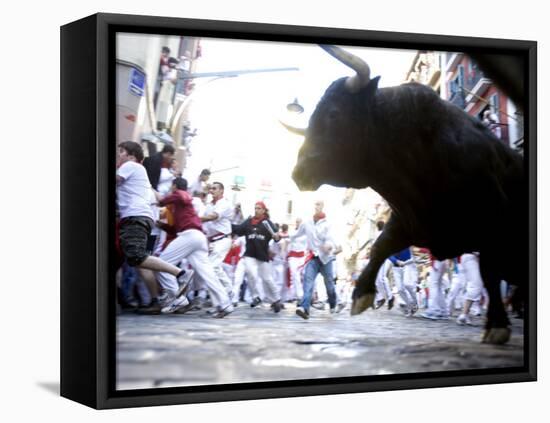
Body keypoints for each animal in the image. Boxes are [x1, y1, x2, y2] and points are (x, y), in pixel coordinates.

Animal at [292, 47, 528, 344]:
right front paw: (361, 294)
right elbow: (380, 246)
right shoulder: (409, 220)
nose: (298, 172)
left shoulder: (492, 221)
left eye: (333, 114)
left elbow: (489, 272)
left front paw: (496, 325)